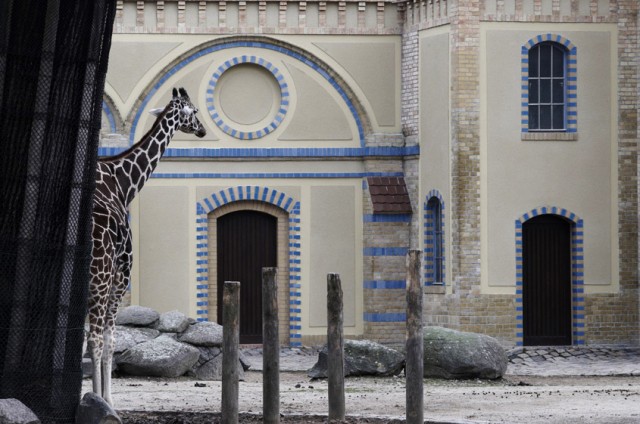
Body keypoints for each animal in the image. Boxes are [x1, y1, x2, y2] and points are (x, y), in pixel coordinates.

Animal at [88, 86, 205, 404]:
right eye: (193, 111)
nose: (202, 130)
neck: (122, 183)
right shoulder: (123, 269)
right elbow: (109, 338)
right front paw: (106, 401)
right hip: (100, 275)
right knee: (95, 336)